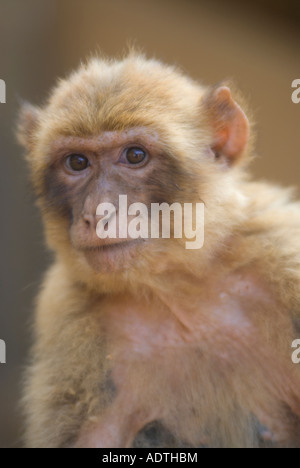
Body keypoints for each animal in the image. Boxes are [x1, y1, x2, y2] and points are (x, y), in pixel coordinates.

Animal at [17, 53, 300, 448]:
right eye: (77, 162)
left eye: (135, 155)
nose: (97, 213)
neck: (179, 287)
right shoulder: (67, 314)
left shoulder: (284, 252)